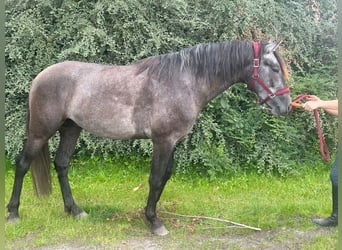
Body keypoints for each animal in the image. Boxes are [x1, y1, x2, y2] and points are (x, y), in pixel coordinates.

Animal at [6, 40, 292, 235]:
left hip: (71, 128)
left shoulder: (173, 141)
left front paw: (152, 215)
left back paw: (74, 210)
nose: (285, 106)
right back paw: (13, 214)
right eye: (274, 68)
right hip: (41, 131)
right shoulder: (162, 141)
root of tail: (40, 77)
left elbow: (164, 177)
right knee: (23, 164)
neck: (184, 81)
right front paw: (154, 222)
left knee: (62, 164)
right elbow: (155, 179)